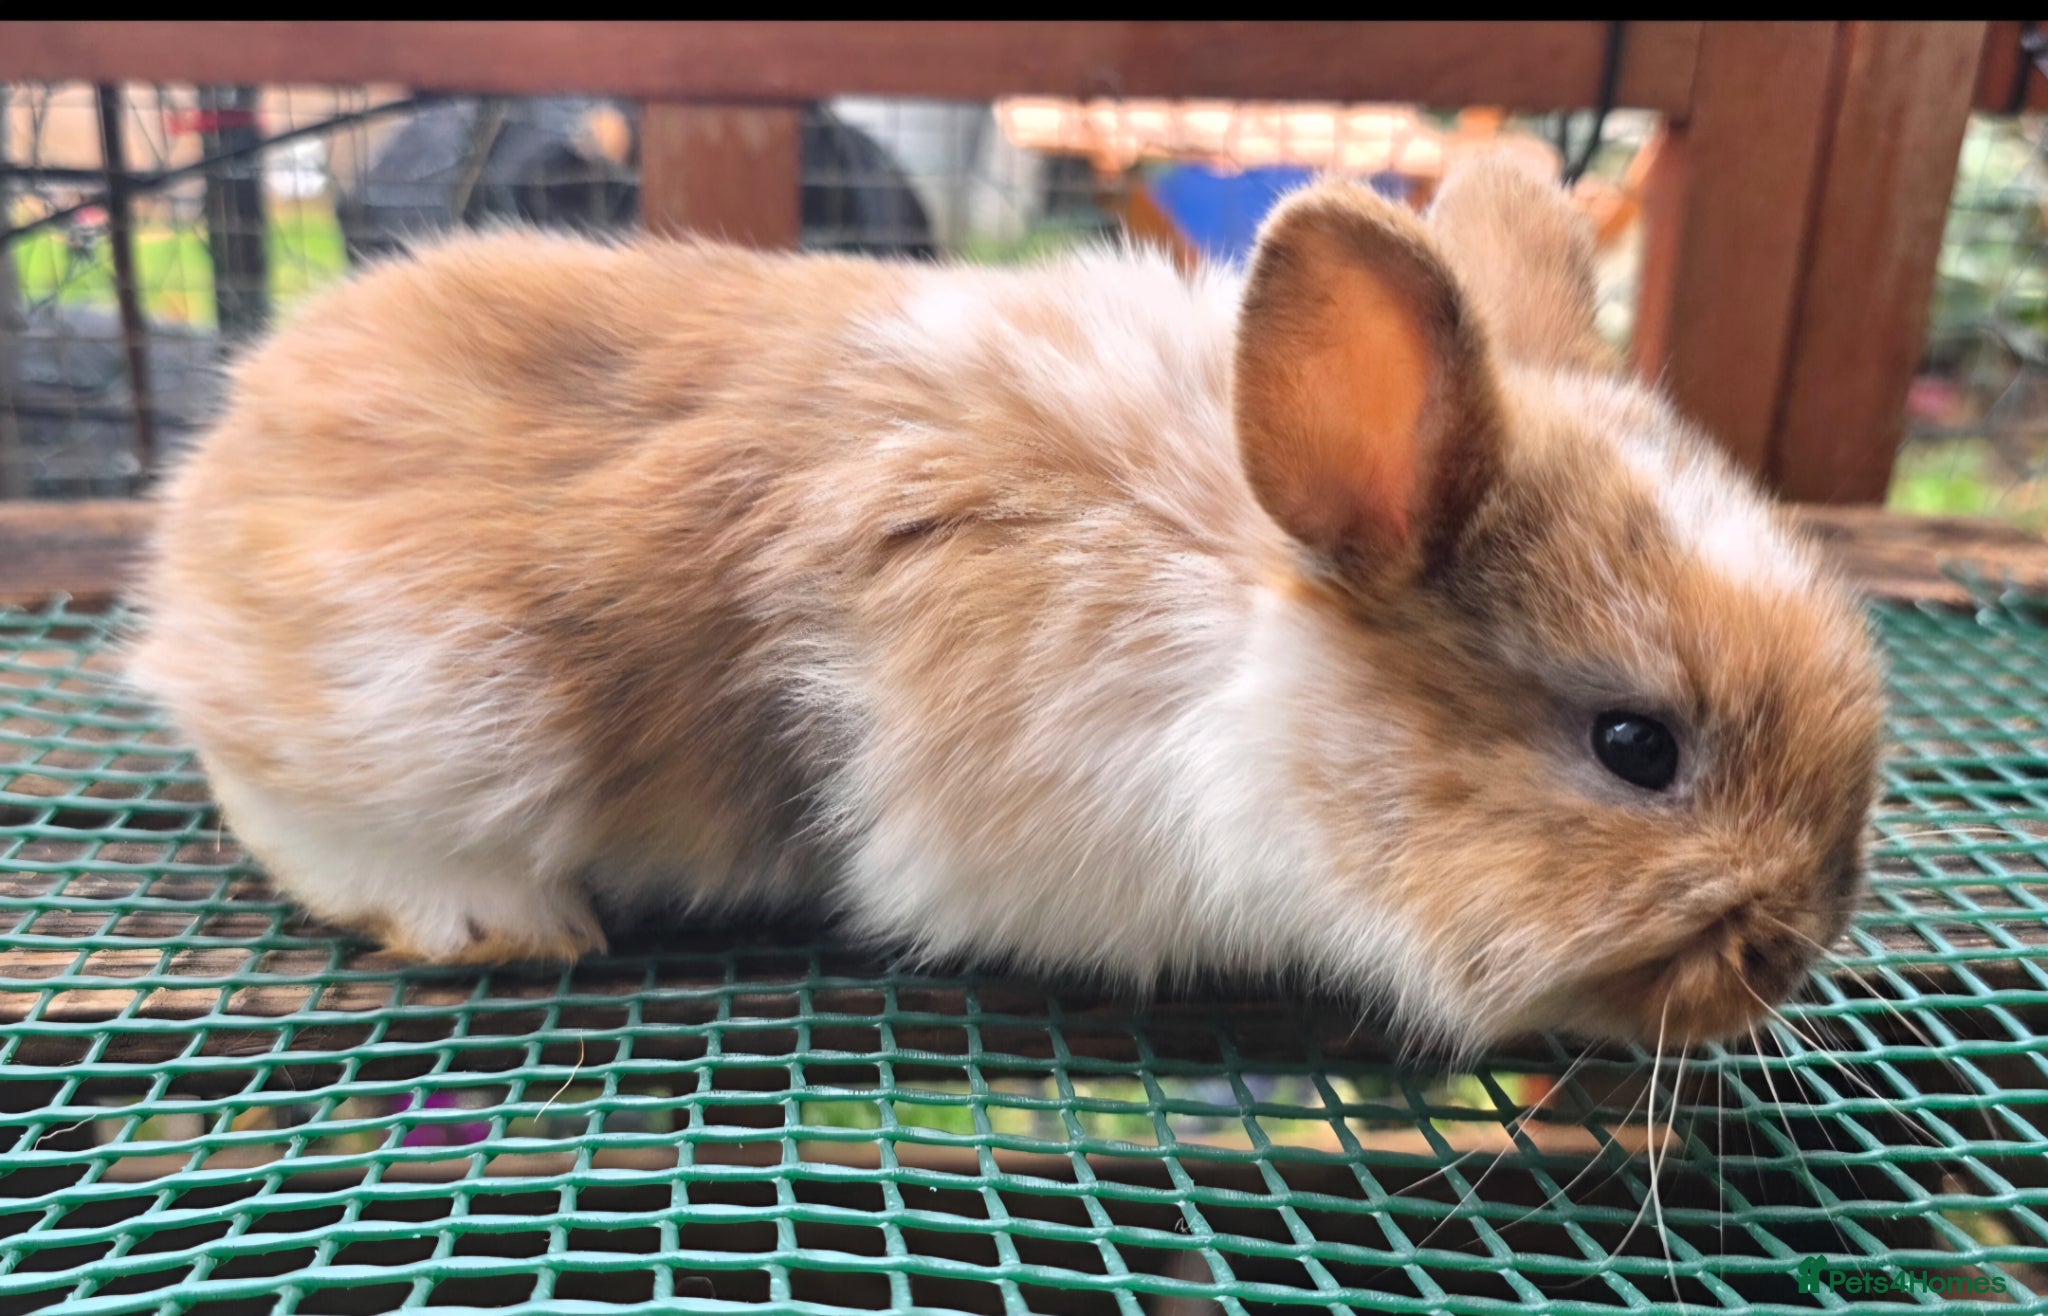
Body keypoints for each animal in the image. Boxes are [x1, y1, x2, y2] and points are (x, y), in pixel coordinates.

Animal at [129, 158, 1885, 1053]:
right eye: (1635, 747)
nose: (1795, 950)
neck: (1239, 630)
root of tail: (204, 500)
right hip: (417, 724)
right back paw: (499, 924)